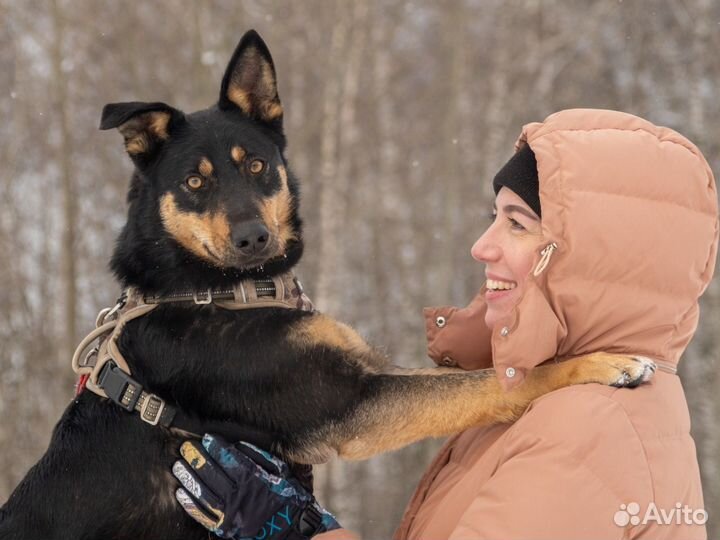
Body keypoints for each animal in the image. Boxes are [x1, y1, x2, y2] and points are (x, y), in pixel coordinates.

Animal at [0, 30, 656, 540]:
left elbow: (482, 375)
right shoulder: (352, 400)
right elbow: (499, 380)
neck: (212, 292)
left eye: (257, 165)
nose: (253, 239)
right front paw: (601, 363)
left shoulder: (365, 376)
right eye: (194, 182)